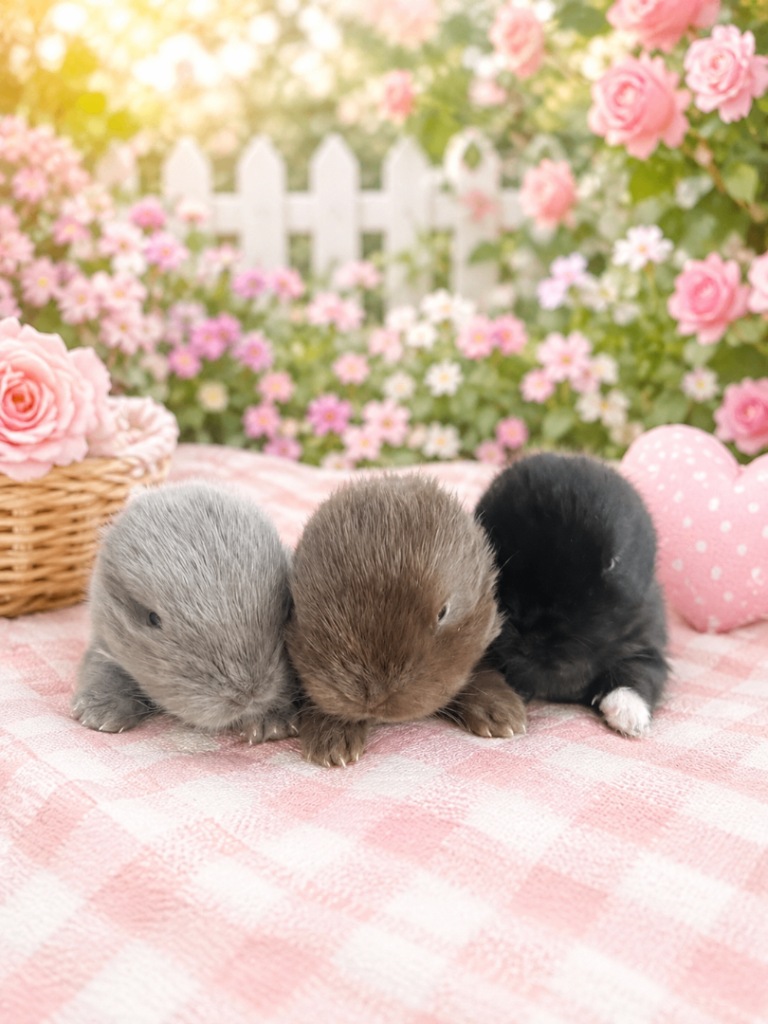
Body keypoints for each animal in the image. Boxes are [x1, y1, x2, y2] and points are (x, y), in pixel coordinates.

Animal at [72, 482, 298, 743]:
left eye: (283, 606)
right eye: (152, 619)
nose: (249, 696)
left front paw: (270, 724)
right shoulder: (103, 642)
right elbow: (103, 668)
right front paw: (100, 713)